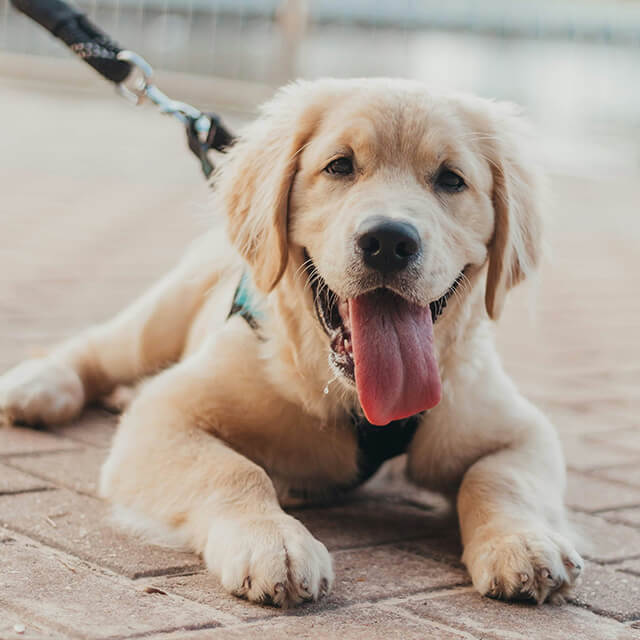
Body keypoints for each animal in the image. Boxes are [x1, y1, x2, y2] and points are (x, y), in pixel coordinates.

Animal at [0, 77, 584, 608]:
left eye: (450, 179)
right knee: (100, 347)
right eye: (340, 166)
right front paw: (273, 542)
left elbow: (498, 478)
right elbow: (235, 470)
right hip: (161, 318)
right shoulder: (164, 412)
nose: (388, 241)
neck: (354, 398)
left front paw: (524, 541)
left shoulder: (520, 429)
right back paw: (38, 386)